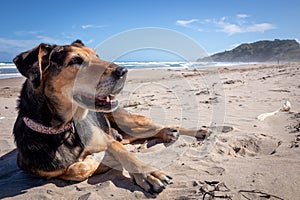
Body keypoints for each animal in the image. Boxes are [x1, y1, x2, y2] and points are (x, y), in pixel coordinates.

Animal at [12, 40, 209, 194]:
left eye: (97, 55)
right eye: (75, 61)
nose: (124, 71)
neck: (63, 130)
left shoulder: (106, 140)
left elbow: (124, 154)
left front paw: (148, 173)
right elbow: (76, 170)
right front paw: (96, 161)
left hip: (130, 122)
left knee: (160, 125)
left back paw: (197, 131)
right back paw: (168, 133)